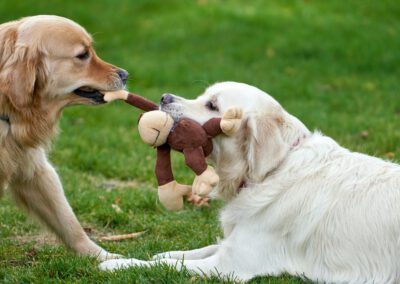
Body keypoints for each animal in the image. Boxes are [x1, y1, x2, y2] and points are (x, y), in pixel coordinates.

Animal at [99, 81, 400, 282]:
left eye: (212, 105)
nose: (164, 96)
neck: (273, 170)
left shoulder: (230, 265)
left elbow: (163, 266)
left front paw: (116, 265)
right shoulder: (233, 245)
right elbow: (194, 251)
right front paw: (165, 253)